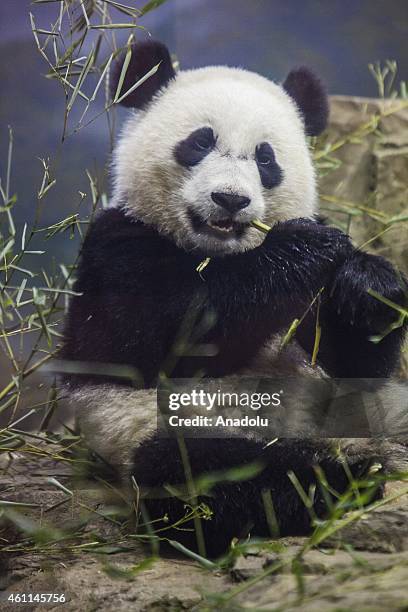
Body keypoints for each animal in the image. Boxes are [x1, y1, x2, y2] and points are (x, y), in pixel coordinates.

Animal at [61, 40, 408, 556]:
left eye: (266, 159)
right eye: (200, 142)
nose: (230, 200)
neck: (219, 254)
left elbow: (350, 361)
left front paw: (370, 283)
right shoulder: (117, 245)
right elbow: (160, 336)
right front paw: (299, 249)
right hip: (154, 427)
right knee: (215, 473)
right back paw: (346, 480)